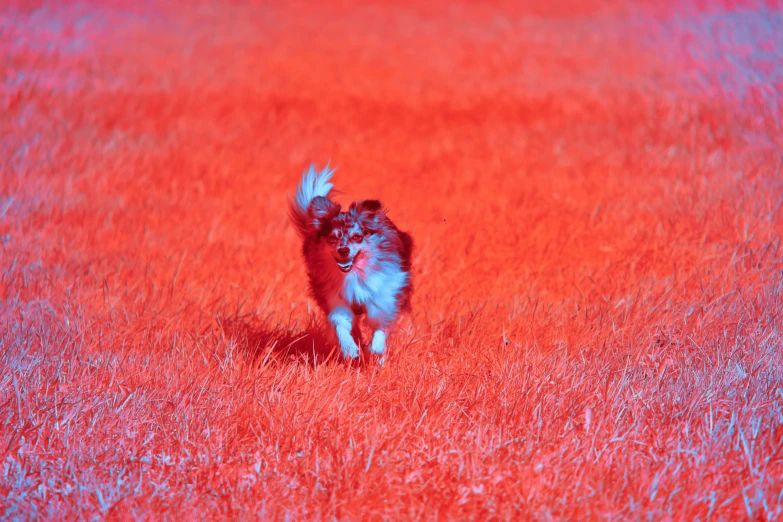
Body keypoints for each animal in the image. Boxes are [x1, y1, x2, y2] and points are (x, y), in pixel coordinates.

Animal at [290, 164, 414, 362]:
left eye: (357, 237)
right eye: (332, 238)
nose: (343, 250)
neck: (354, 274)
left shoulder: (384, 298)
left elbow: (380, 328)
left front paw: (376, 350)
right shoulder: (335, 299)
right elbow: (341, 325)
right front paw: (350, 349)